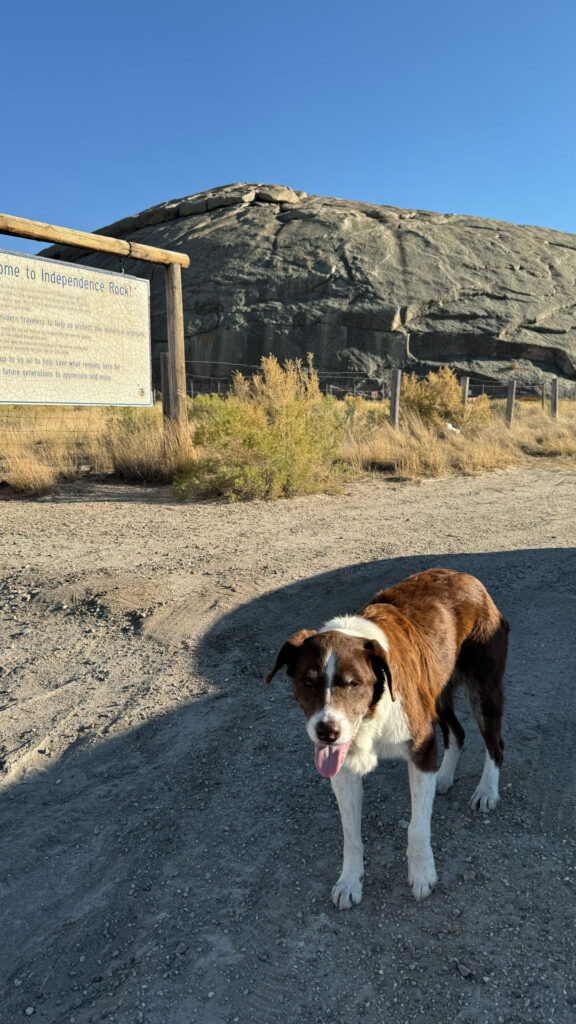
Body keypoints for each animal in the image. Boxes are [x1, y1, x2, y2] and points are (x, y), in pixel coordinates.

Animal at [266, 569, 504, 913]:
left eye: (354, 683)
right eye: (307, 683)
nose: (327, 732)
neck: (372, 712)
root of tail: (467, 577)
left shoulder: (421, 747)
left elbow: (418, 826)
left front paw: (422, 873)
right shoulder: (343, 769)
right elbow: (351, 834)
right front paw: (350, 881)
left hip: (483, 690)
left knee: (495, 744)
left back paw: (486, 791)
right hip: (436, 692)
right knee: (456, 733)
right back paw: (444, 777)